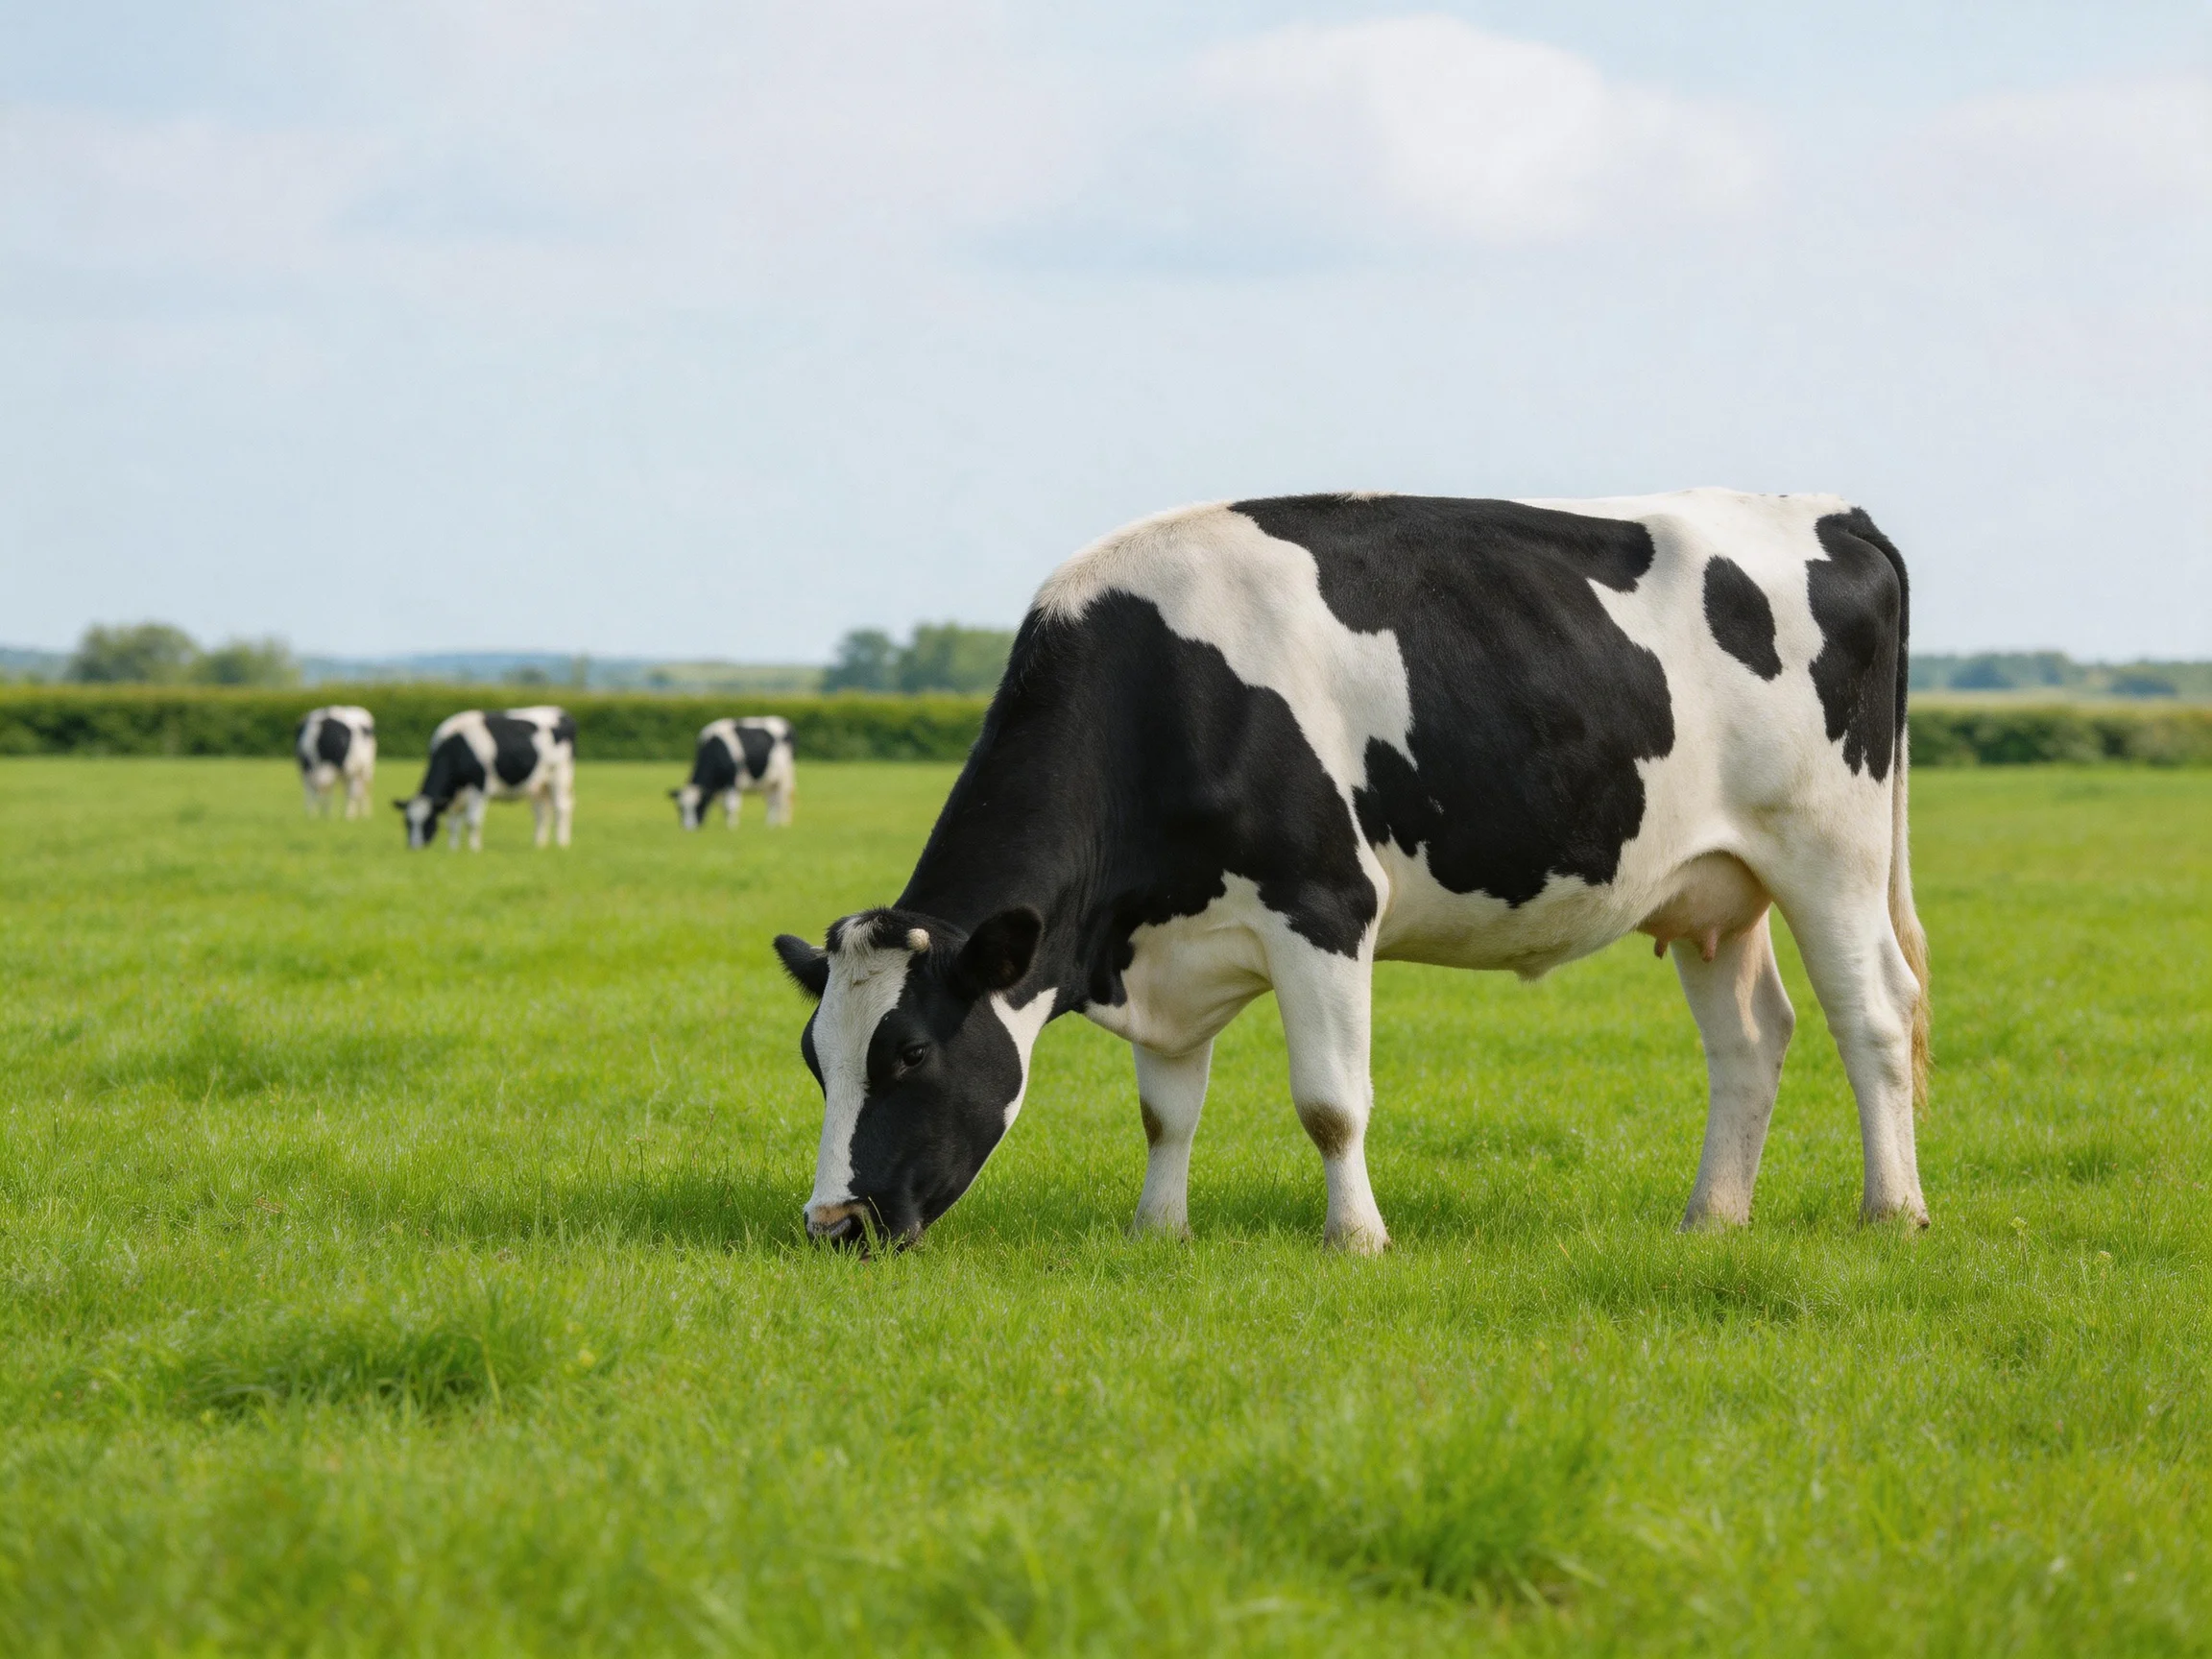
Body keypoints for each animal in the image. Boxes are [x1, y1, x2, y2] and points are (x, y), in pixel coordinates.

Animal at [395, 705, 577, 850]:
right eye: (407, 822)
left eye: (429, 821)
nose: (415, 847)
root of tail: (559, 711)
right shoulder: (454, 795)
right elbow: (452, 824)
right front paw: (453, 849)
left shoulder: (479, 786)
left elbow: (472, 821)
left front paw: (474, 849)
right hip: (538, 785)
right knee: (541, 812)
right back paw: (538, 844)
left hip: (560, 774)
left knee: (562, 808)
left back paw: (562, 843)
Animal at [671, 716, 796, 829]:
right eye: (680, 808)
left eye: (699, 805)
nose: (689, 828)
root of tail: (784, 722)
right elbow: (724, 807)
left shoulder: (733, 781)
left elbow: (730, 805)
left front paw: (731, 827)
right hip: (768, 781)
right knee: (772, 802)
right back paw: (770, 825)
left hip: (785, 777)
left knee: (782, 800)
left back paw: (783, 824)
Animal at [775, 489, 1931, 1254]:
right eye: (813, 1057)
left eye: (912, 1053)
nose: (833, 1223)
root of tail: (1831, 511)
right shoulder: (1166, 946)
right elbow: (1166, 1111)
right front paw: (1158, 1231)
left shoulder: (1324, 908)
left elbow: (1330, 1103)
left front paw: (1356, 1239)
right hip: (1713, 887)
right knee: (1751, 1039)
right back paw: (1711, 1218)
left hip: (1831, 848)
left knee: (1873, 1013)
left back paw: (1892, 1210)